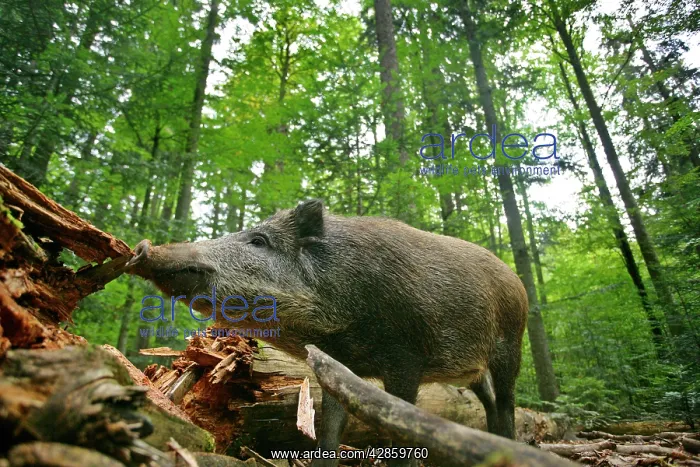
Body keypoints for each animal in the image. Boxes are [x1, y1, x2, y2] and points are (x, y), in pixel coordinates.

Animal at [126, 199, 528, 467]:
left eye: (259, 241)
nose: (142, 249)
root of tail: (519, 285)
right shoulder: (338, 362)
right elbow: (331, 425)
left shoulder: (406, 356)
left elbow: (399, 420)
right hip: (474, 371)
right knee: (490, 403)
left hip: (510, 347)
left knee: (506, 403)